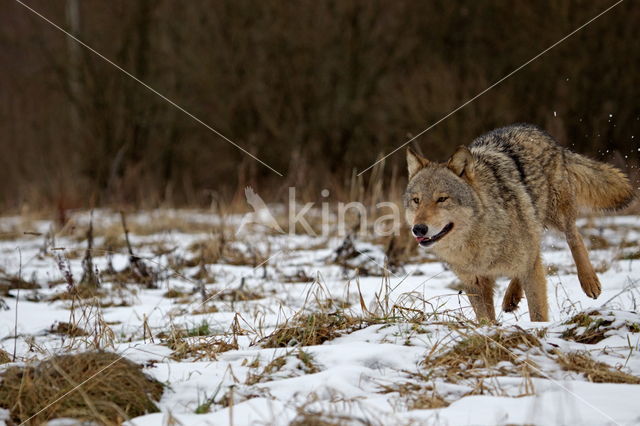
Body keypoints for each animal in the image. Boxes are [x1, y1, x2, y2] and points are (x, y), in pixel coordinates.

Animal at [404, 125, 636, 322]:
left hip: (557, 216)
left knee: (573, 237)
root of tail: (536, 130)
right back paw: (511, 298)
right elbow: (486, 320)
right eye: (416, 200)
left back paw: (589, 281)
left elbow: (538, 312)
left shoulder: (530, 270)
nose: (418, 229)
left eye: (442, 199)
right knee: (536, 253)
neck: (478, 240)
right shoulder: (475, 282)